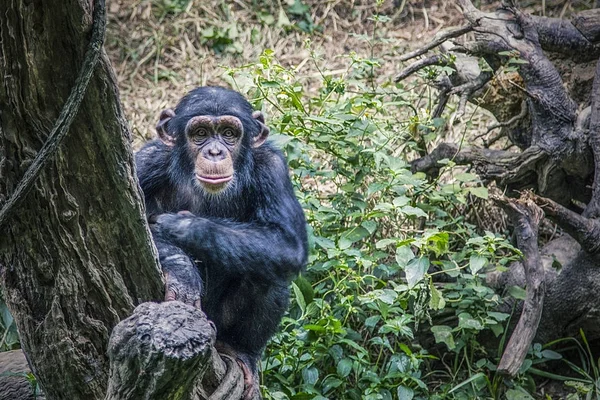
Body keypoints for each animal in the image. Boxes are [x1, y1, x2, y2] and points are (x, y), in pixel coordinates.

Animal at [134, 86, 308, 396]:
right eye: (200, 133)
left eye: (229, 133)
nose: (215, 151)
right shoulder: (146, 161)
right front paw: (182, 271)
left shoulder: (272, 168)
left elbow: (288, 243)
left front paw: (180, 226)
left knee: (268, 272)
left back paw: (240, 350)